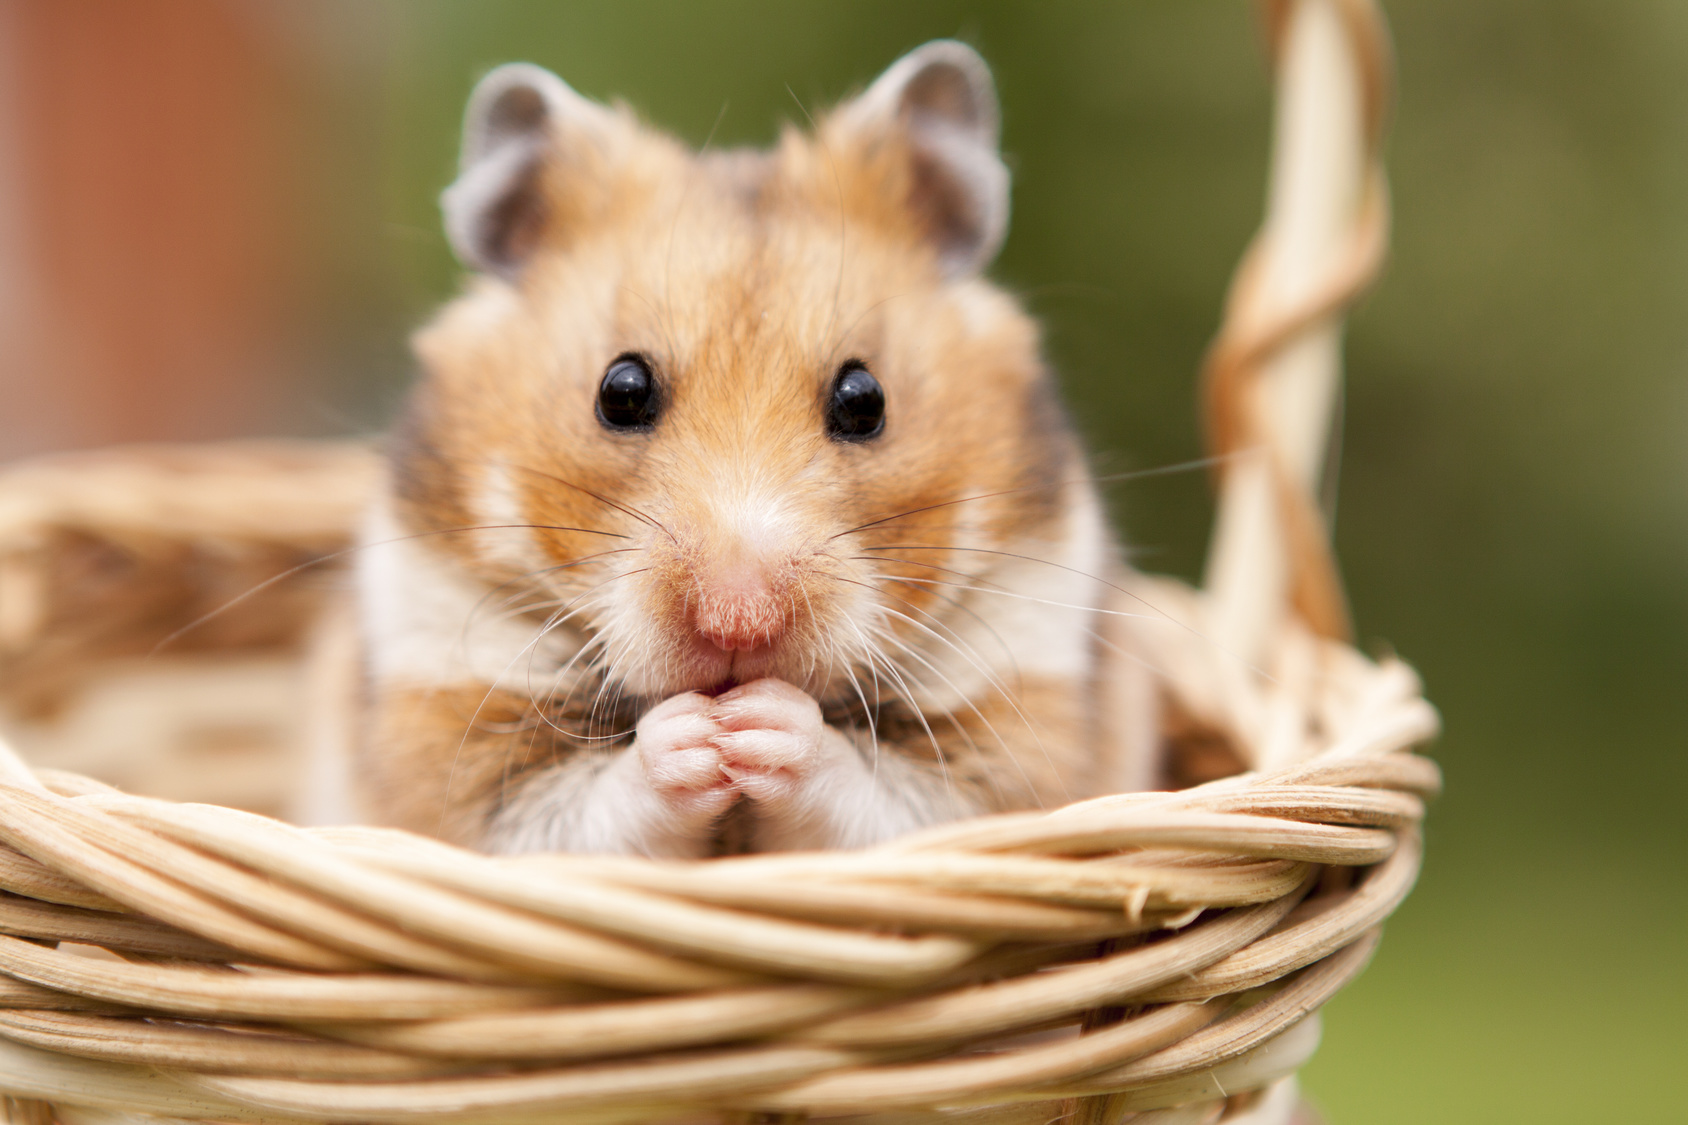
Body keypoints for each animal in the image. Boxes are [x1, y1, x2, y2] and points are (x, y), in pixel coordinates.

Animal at [342, 39, 1161, 854]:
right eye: (620, 390)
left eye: (866, 401)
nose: (739, 622)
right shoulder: (451, 727)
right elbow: (572, 809)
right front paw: (699, 736)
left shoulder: (1017, 730)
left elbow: (890, 797)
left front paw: (759, 725)